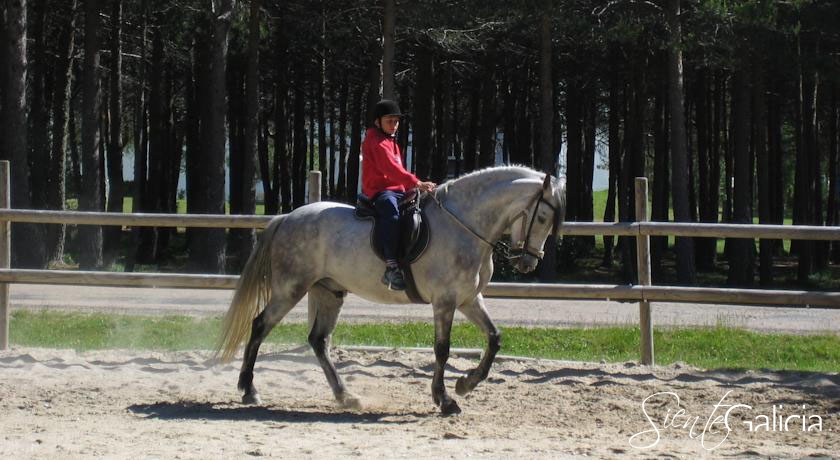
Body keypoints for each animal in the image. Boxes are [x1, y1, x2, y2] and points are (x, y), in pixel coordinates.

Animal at [216, 165, 566, 415]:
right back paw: (249, 390)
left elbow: (494, 338)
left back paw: (346, 396)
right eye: (542, 217)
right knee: (260, 325)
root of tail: (288, 217)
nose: (527, 263)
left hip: (328, 292)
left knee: (318, 341)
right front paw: (445, 400)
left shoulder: (468, 299)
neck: (464, 225)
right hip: (291, 288)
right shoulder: (445, 301)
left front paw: (465, 385)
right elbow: (442, 349)